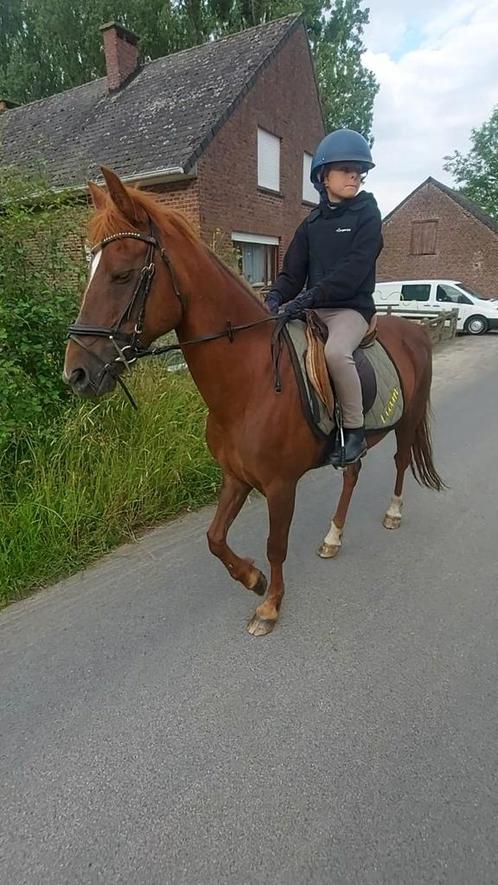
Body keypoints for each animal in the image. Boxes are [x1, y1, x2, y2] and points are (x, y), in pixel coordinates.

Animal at [63, 167, 444, 636]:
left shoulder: (280, 486)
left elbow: (275, 545)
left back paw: (392, 513)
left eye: (121, 274)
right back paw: (332, 538)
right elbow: (214, 537)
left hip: (407, 422)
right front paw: (252, 578)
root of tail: (414, 330)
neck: (250, 384)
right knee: (352, 473)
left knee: (401, 461)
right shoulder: (235, 476)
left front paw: (269, 605)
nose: (76, 373)